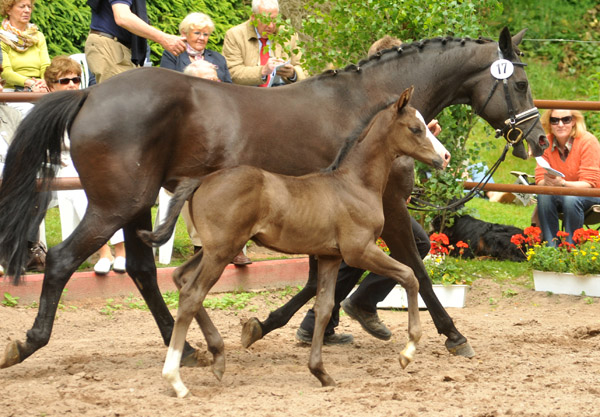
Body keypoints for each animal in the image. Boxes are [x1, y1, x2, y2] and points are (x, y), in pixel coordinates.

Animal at [157, 88, 442, 396]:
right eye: (416, 129)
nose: (444, 157)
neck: (354, 184)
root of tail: (201, 181)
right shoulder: (359, 250)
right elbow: (410, 275)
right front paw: (408, 352)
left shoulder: (331, 257)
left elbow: (324, 307)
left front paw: (320, 372)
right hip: (221, 252)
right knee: (192, 294)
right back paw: (176, 379)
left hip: (216, 249)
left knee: (181, 278)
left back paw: (218, 356)